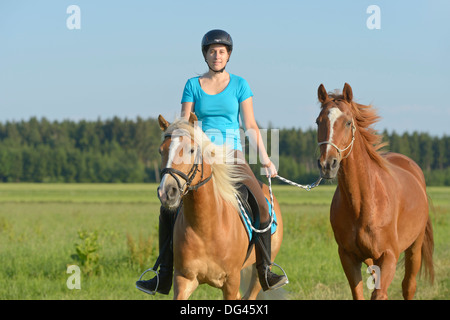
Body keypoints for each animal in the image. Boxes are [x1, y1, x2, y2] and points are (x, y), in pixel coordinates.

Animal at [155, 112, 284, 300]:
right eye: (161, 151)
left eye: (191, 150)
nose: (167, 192)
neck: (206, 226)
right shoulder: (184, 279)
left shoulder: (231, 281)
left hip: (258, 273)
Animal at [314, 83, 434, 300]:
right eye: (318, 122)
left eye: (348, 122)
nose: (328, 164)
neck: (364, 202)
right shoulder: (348, 257)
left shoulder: (388, 256)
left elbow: (380, 294)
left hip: (415, 248)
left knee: (408, 286)